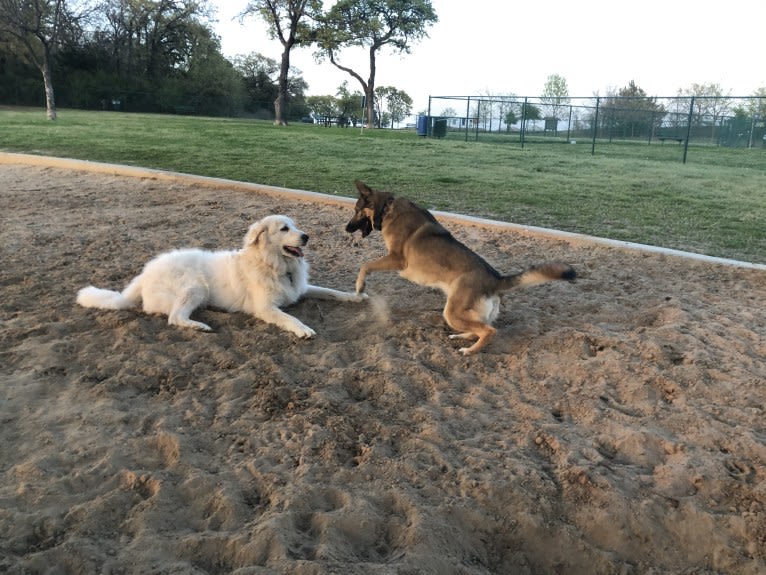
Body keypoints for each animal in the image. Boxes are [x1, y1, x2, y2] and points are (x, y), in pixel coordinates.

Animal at [76, 216, 368, 338]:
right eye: (285, 228)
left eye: (295, 226)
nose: (306, 236)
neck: (275, 264)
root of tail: (143, 275)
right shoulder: (265, 307)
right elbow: (290, 317)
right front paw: (303, 329)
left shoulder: (301, 288)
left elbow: (332, 291)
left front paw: (356, 296)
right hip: (195, 288)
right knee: (174, 317)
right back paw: (200, 326)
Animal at [346, 182, 576, 356]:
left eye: (357, 211)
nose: (346, 229)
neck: (387, 208)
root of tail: (496, 279)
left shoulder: (397, 259)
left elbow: (365, 264)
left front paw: (360, 286)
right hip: (463, 312)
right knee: (478, 329)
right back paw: (461, 337)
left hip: (453, 311)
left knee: (489, 331)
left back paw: (470, 350)